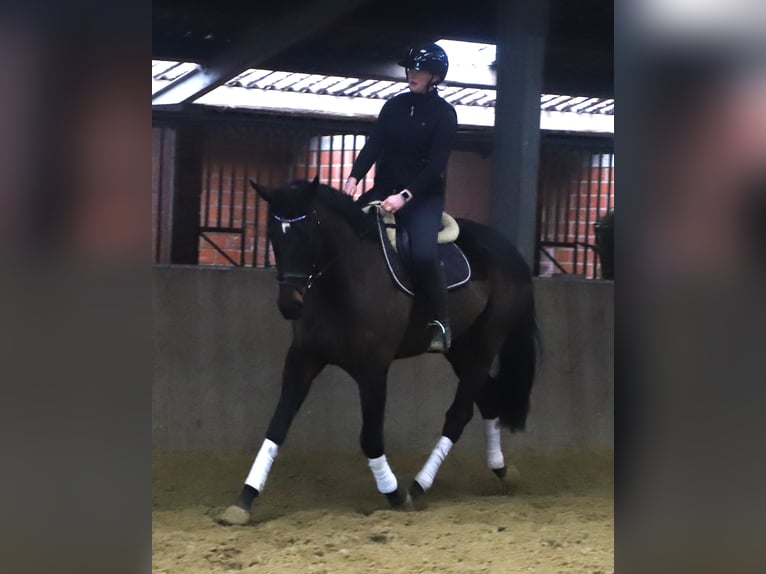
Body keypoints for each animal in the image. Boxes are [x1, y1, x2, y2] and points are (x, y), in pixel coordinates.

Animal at [219, 177, 538, 525]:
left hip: (484, 345)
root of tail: (508, 250)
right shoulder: (303, 358)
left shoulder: (373, 367)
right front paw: (244, 500)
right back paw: (502, 470)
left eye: (305, 234)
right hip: (460, 349)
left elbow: (370, 438)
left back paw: (419, 486)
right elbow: (277, 425)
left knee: (459, 414)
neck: (342, 281)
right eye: (273, 235)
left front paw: (394, 493)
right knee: (488, 400)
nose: (289, 305)